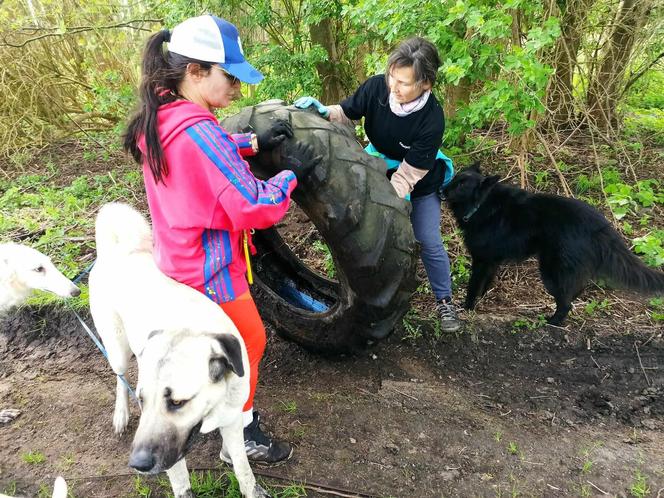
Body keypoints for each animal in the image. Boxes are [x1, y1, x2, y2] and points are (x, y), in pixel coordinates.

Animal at [89, 202, 270, 498]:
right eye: (142, 400)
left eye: (177, 402)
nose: (137, 464)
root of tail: (120, 249)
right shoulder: (169, 454)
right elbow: (182, 485)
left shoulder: (232, 422)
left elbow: (244, 469)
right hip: (117, 347)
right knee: (119, 377)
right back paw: (121, 414)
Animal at [440, 165, 664, 324]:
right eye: (455, 178)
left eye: (461, 185)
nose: (441, 189)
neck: (481, 204)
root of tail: (598, 224)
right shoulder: (491, 261)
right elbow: (485, 284)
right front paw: (480, 300)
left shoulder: (481, 260)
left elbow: (473, 286)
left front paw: (467, 307)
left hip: (551, 269)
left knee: (566, 302)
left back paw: (552, 322)